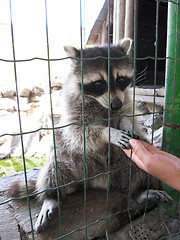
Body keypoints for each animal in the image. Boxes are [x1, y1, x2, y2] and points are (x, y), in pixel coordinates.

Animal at [23, 39, 172, 232]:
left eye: (120, 79)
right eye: (99, 83)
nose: (115, 105)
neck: (99, 102)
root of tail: (99, 180)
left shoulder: (126, 97)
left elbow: (128, 113)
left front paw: (124, 122)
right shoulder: (72, 105)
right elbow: (80, 132)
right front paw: (108, 133)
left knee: (138, 166)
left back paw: (140, 190)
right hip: (73, 160)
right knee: (56, 162)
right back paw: (51, 196)